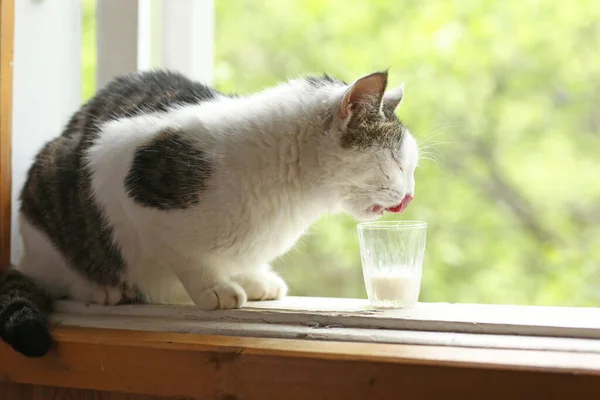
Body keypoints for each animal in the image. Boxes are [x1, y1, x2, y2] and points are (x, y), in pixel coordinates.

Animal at [0, 68, 418, 356]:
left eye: (410, 166)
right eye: (397, 162)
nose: (410, 195)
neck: (292, 200)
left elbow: (239, 259)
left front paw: (253, 278)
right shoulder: (120, 171)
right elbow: (184, 256)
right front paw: (214, 288)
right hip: (52, 177)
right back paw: (102, 288)